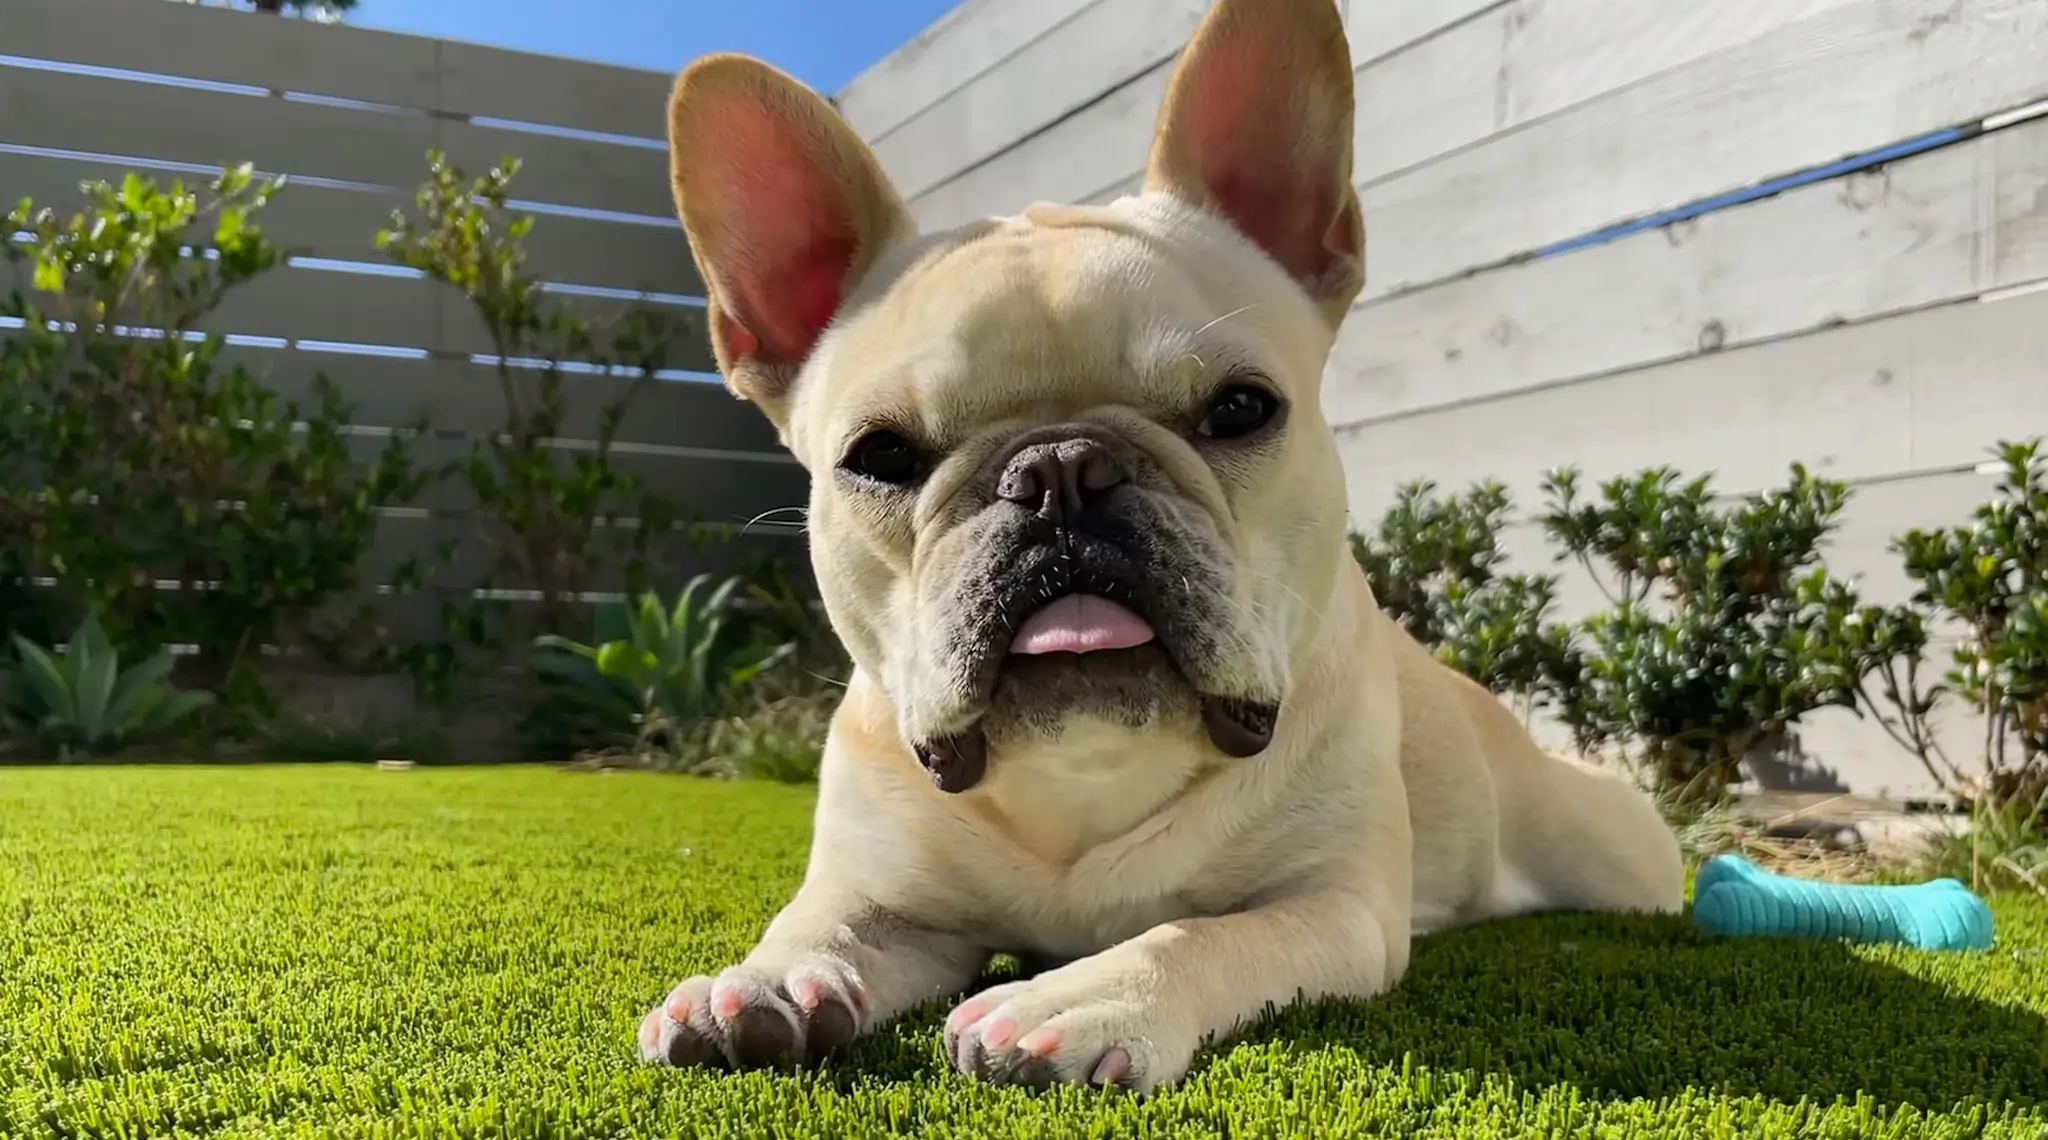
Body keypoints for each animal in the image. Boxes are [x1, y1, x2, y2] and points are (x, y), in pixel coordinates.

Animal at [634, 0, 1679, 1097]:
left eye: (1240, 409)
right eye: (879, 454)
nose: (1059, 469)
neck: (1086, 769)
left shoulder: (1332, 908)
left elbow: (1200, 933)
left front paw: (1079, 1000)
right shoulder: (886, 902)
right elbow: (814, 927)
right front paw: (756, 984)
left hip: (1607, 850)